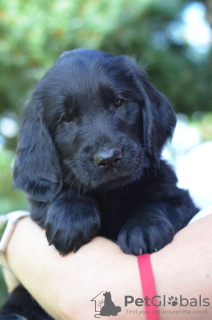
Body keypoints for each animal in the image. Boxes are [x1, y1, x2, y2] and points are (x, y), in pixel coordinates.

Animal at [0, 48, 198, 318]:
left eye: (118, 102)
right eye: (67, 119)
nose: (108, 158)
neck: (112, 194)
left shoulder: (179, 197)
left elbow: (158, 203)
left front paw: (143, 228)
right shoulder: (40, 206)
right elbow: (65, 189)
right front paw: (71, 219)